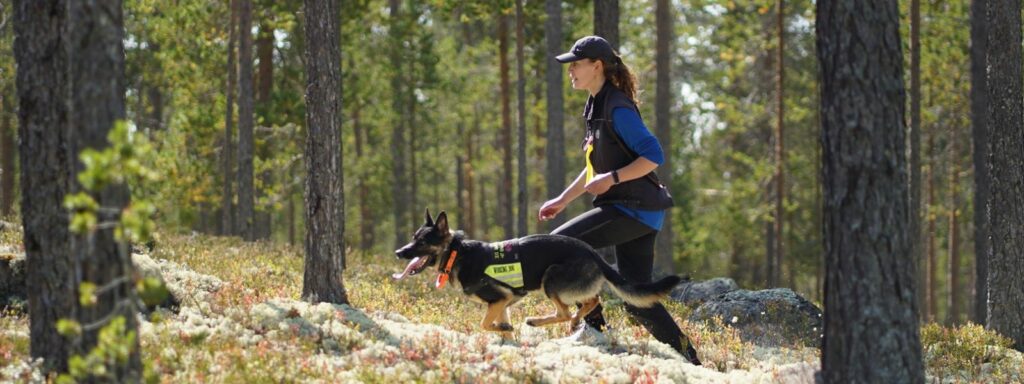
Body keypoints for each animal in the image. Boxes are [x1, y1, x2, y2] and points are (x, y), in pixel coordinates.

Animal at [395, 208, 684, 335]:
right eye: (413, 238)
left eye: (421, 242)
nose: (399, 252)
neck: (456, 253)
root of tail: (590, 251)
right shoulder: (505, 301)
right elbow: (499, 323)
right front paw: (505, 331)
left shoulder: (499, 299)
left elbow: (484, 324)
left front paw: (501, 329)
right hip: (567, 285)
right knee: (592, 301)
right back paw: (576, 321)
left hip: (551, 280)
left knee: (565, 311)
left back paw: (538, 321)